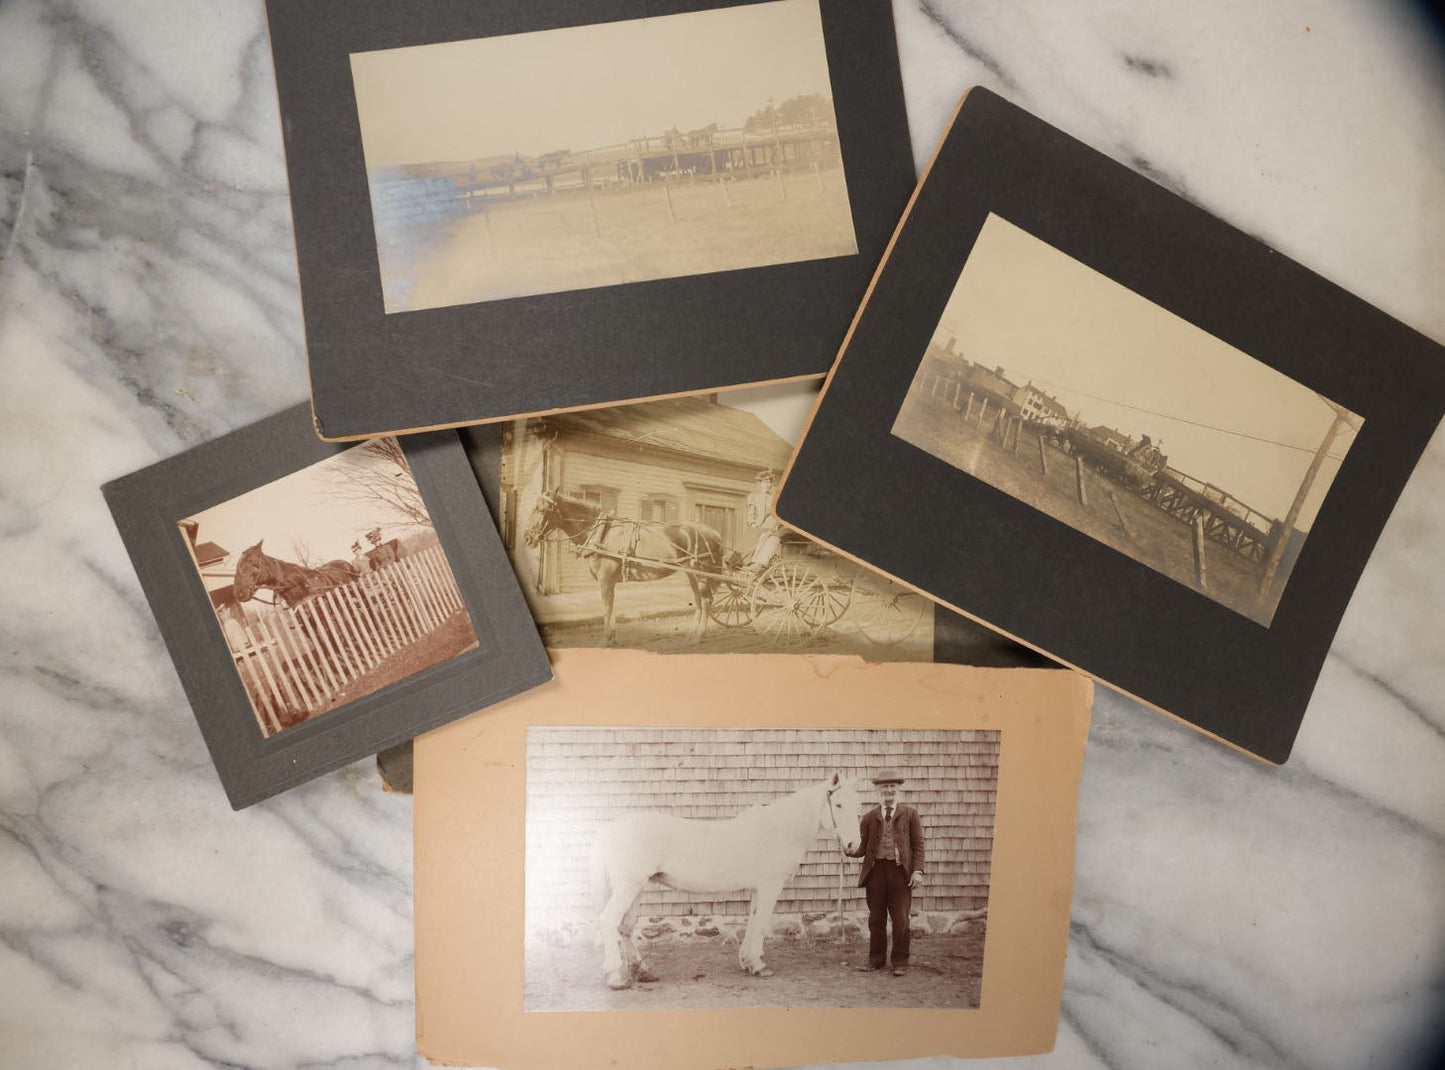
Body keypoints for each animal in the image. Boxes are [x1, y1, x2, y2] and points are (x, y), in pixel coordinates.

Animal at [523, 491, 728, 644]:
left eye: (542, 510)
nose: (527, 537)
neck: (600, 533)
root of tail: (713, 532)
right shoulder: (609, 581)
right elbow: (611, 606)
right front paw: (612, 638)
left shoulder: (605, 580)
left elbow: (606, 607)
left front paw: (605, 639)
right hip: (692, 574)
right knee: (699, 602)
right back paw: (691, 634)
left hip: (701, 574)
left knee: (707, 601)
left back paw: (699, 635)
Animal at [586, 775, 855, 989]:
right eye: (838, 804)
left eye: (857, 804)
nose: (853, 846)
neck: (779, 831)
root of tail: (610, 829)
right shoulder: (770, 886)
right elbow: (761, 924)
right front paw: (759, 965)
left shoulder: (758, 888)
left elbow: (753, 922)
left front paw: (747, 962)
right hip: (628, 887)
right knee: (608, 921)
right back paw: (615, 977)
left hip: (635, 887)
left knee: (625, 927)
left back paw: (643, 971)